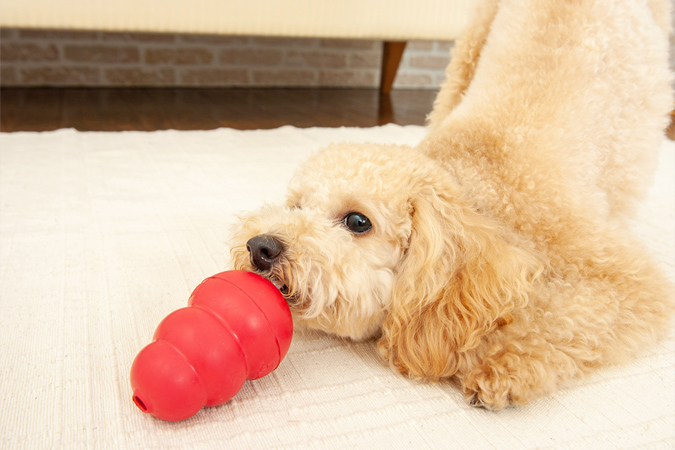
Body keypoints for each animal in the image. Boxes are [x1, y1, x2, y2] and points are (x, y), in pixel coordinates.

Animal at [228, 0, 675, 410]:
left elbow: (567, 318)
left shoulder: (626, 278)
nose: (261, 246)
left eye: (357, 222)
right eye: (296, 206)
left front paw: (506, 366)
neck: (480, 197)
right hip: (468, 50)